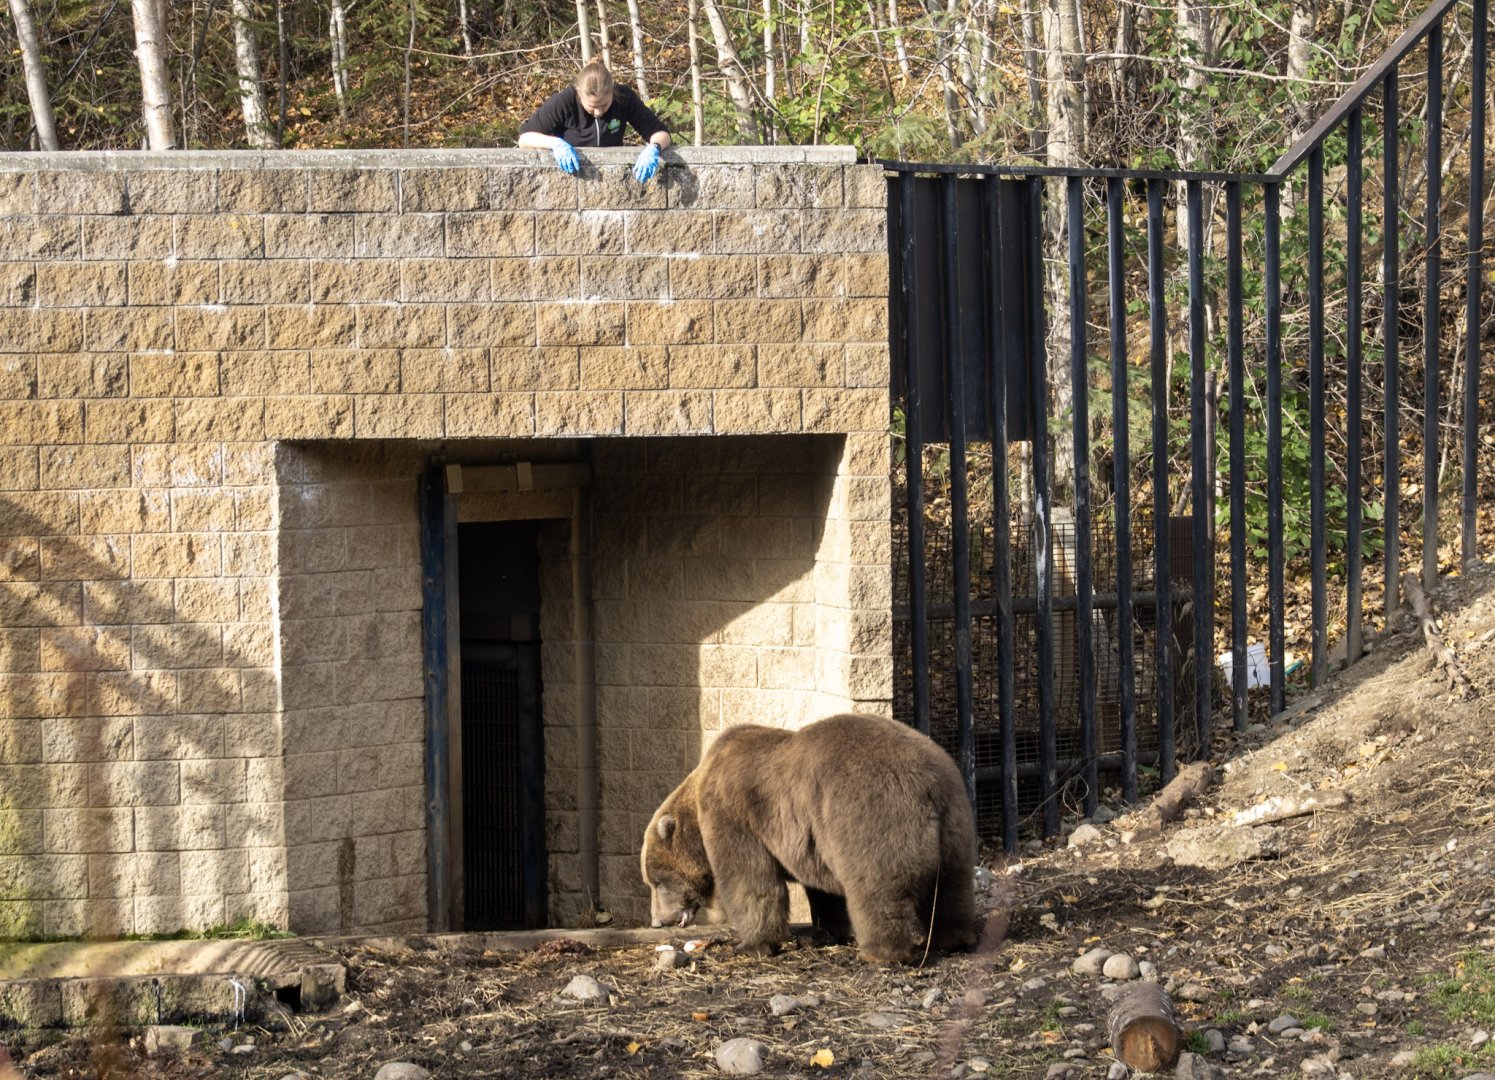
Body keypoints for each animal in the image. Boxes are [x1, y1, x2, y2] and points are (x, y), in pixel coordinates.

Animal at [640, 712, 978, 964]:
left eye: (657, 881)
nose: (658, 921)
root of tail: (927, 781)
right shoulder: (812, 836)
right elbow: (822, 889)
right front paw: (823, 932)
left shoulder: (734, 813)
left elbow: (749, 878)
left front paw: (752, 944)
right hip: (955, 822)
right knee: (952, 887)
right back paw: (953, 938)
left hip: (868, 812)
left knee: (878, 886)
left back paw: (881, 952)